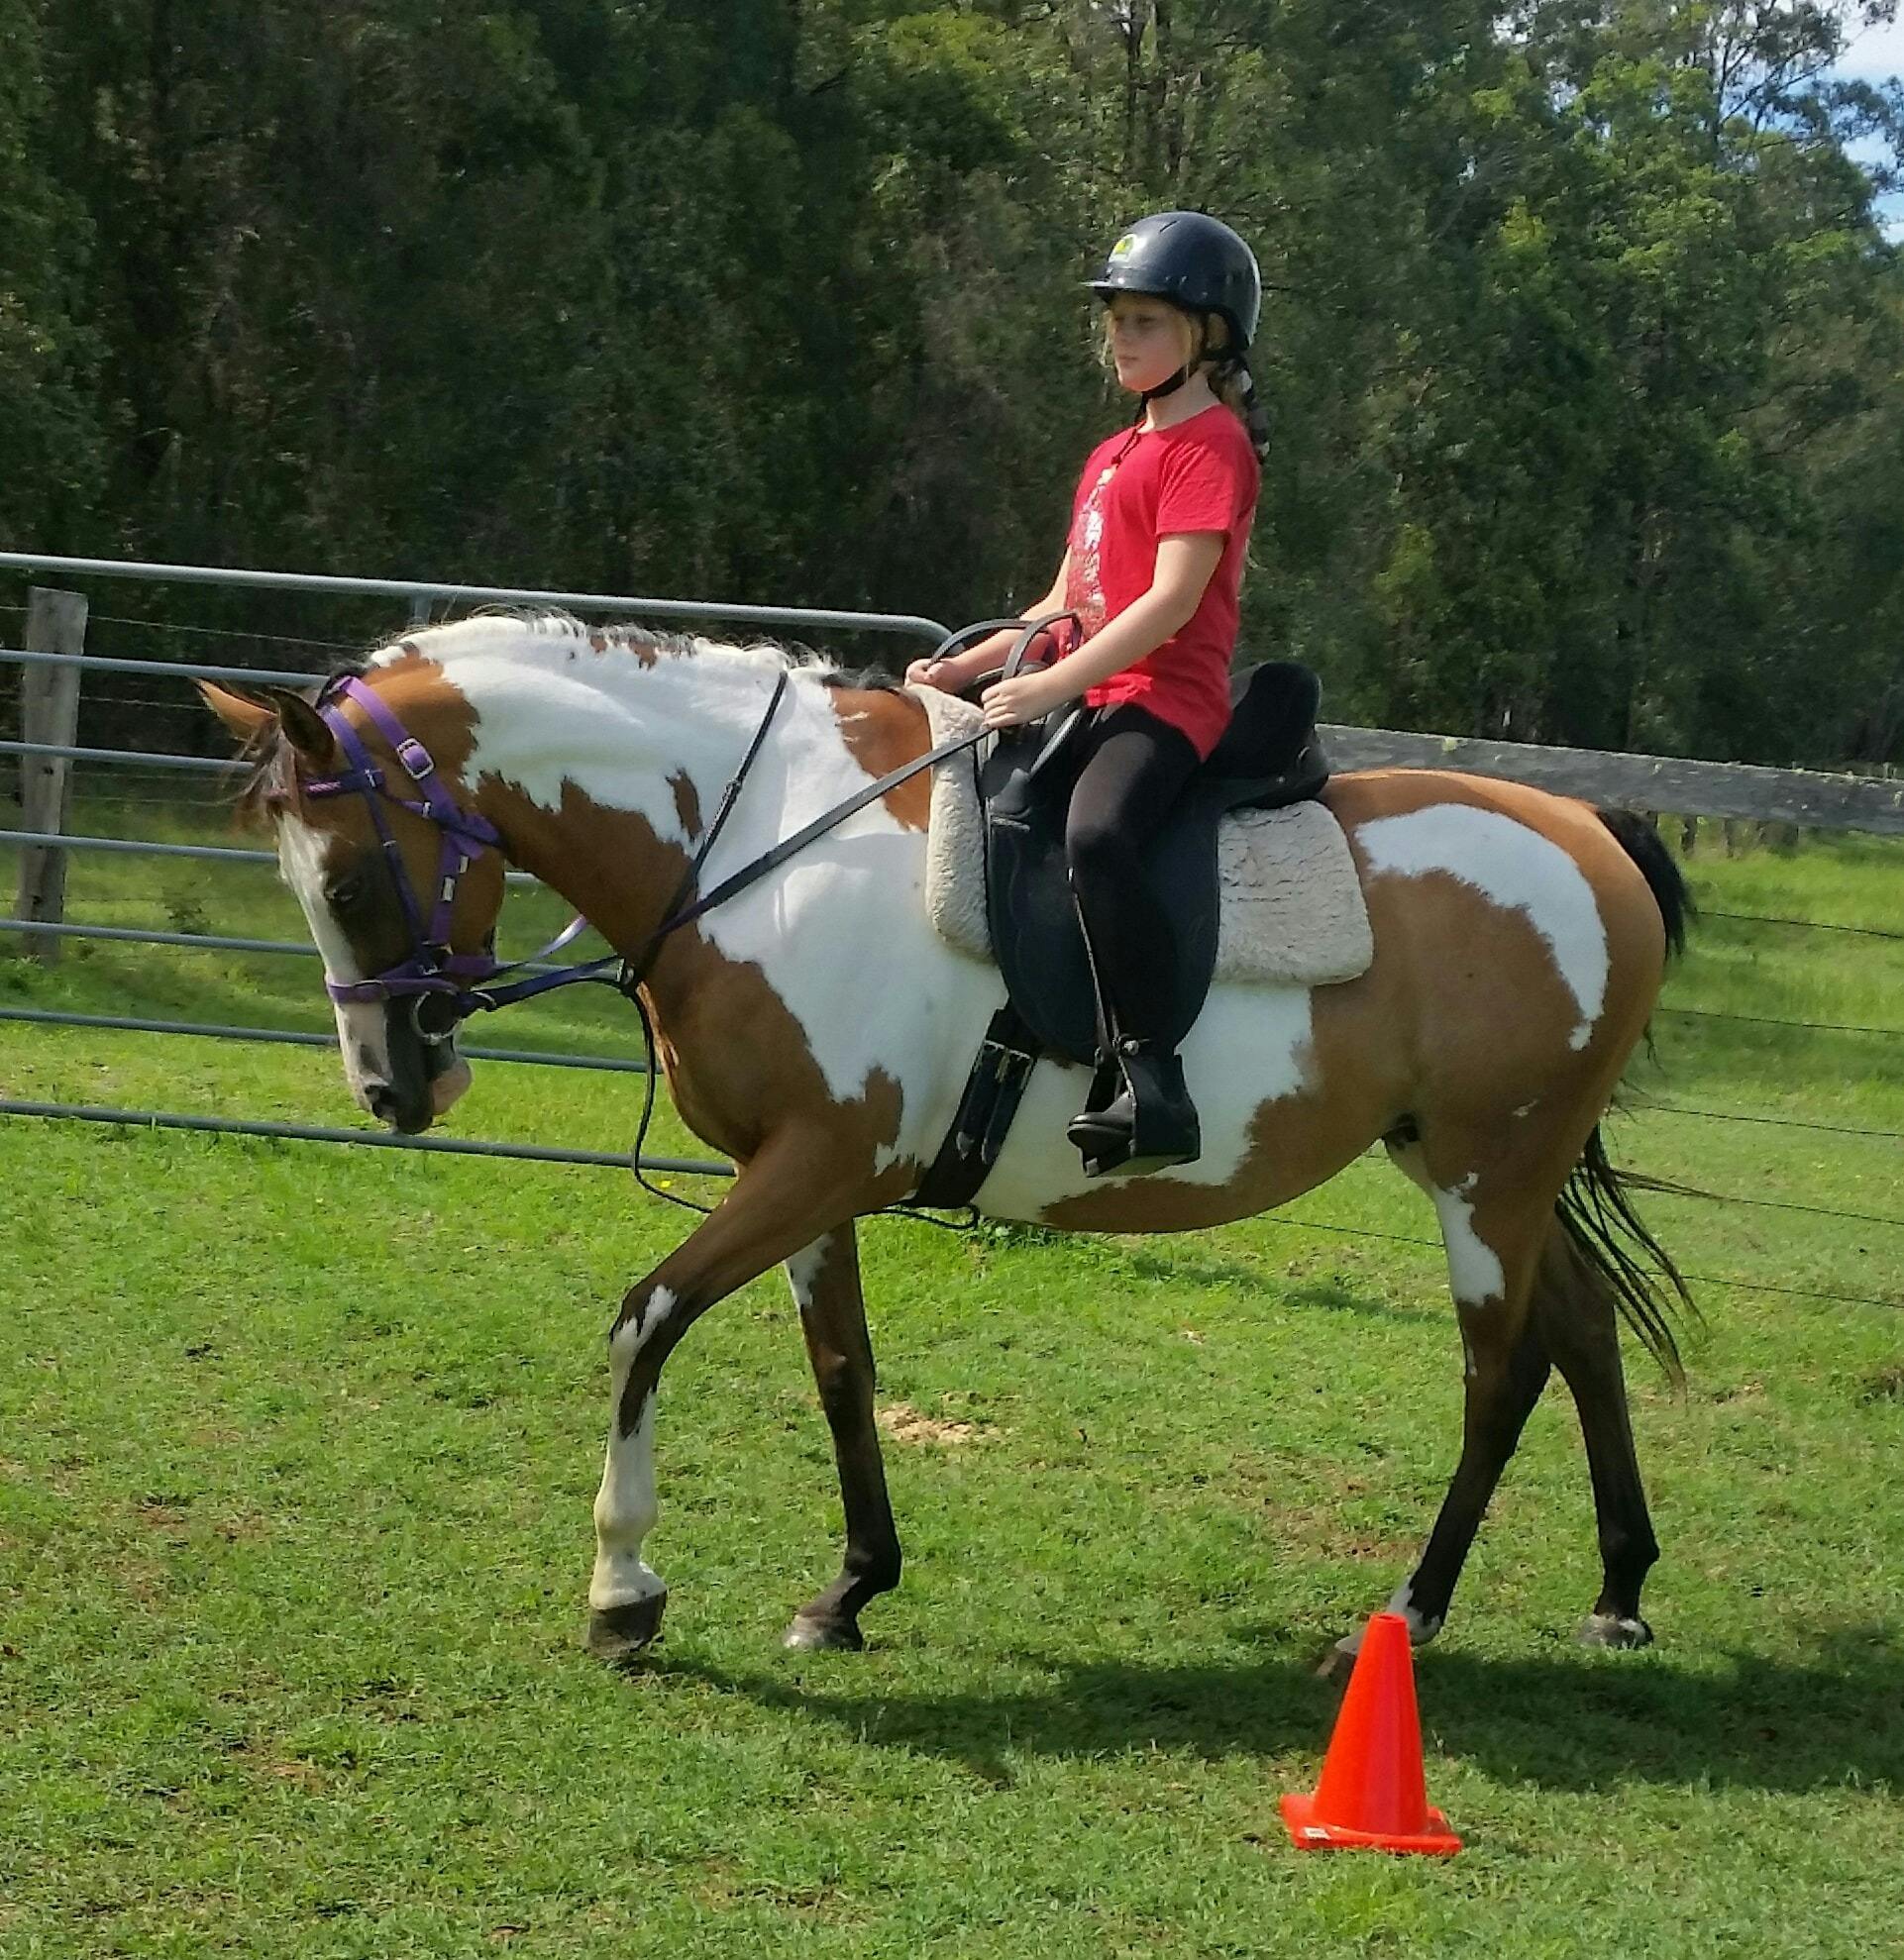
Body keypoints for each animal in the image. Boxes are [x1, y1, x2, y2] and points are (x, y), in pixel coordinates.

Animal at [202, 610, 1693, 1669]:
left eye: (349, 880)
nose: (390, 1088)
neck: (757, 841)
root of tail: (1586, 825)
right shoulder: (806, 1173)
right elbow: (841, 1367)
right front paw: (849, 1588)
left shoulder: (812, 1162)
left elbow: (646, 1319)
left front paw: (622, 1586)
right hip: (1481, 1168)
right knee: (1580, 1327)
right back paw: (1618, 1587)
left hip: (1483, 1178)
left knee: (1499, 1377)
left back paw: (1403, 1616)